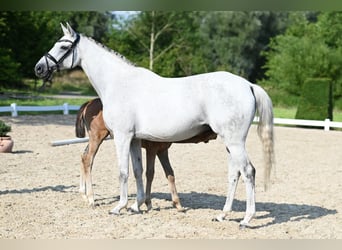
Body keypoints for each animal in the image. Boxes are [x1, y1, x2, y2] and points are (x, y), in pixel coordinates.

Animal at [34, 23, 274, 229]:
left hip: (234, 142)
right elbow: (138, 171)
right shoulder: (135, 140)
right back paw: (222, 215)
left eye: (63, 46)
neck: (119, 84)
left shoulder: (122, 136)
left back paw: (246, 219)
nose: (39, 68)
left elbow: (123, 172)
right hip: (230, 142)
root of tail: (248, 85)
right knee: (234, 174)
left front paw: (119, 207)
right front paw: (136, 205)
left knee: (248, 171)